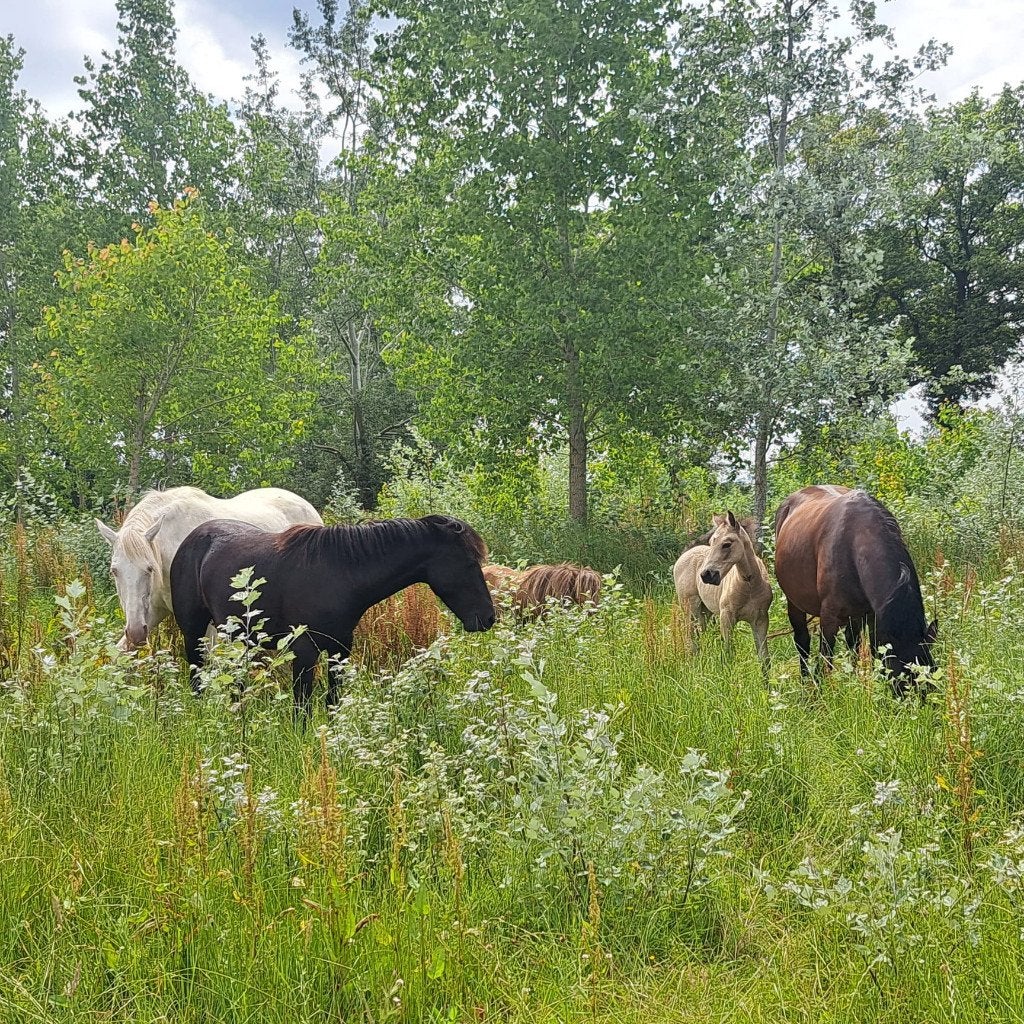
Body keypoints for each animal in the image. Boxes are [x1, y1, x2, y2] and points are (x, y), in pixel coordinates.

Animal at [169, 514, 496, 713]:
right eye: (469, 563)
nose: (488, 618)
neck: (339, 574)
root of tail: (193, 538)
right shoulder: (304, 651)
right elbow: (302, 707)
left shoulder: (340, 649)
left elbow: (332, 702)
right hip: (193, 631)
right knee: (196, 674)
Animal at [673, 511, 773, 671]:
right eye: (711, 542)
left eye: (727, 544)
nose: (706, 574)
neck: (749, 586)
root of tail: (683, 556)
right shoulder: (726, 617)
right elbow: (728, 653)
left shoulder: (760, 620)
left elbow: (764, 659)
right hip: (690, 607)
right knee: (691, 637)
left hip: (704, 611)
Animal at [773, 485, 937, 694]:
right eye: (900, 677)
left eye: (930, 675)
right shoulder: (829, 617)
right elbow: (824, 659)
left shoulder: (872, 616)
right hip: (795, 603)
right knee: (802, 641)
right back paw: (805, 682)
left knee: (853, 643)